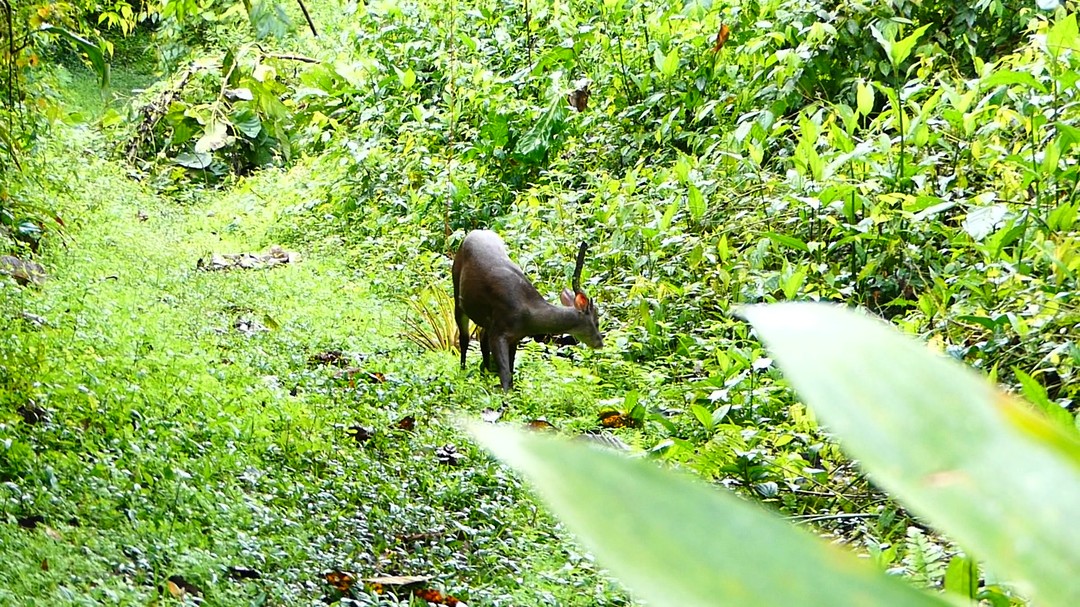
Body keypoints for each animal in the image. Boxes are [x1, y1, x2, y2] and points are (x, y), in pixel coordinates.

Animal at [452, 230, 603, 391]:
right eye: (596, 321)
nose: (600, 343)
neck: (528, 316)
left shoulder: (514, 336)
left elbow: (511, 369)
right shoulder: (499, 332)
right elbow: (505, 373)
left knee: (482, 339)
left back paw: (485, 375)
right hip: (457, 294)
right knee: (464, 339)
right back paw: (463, 372)